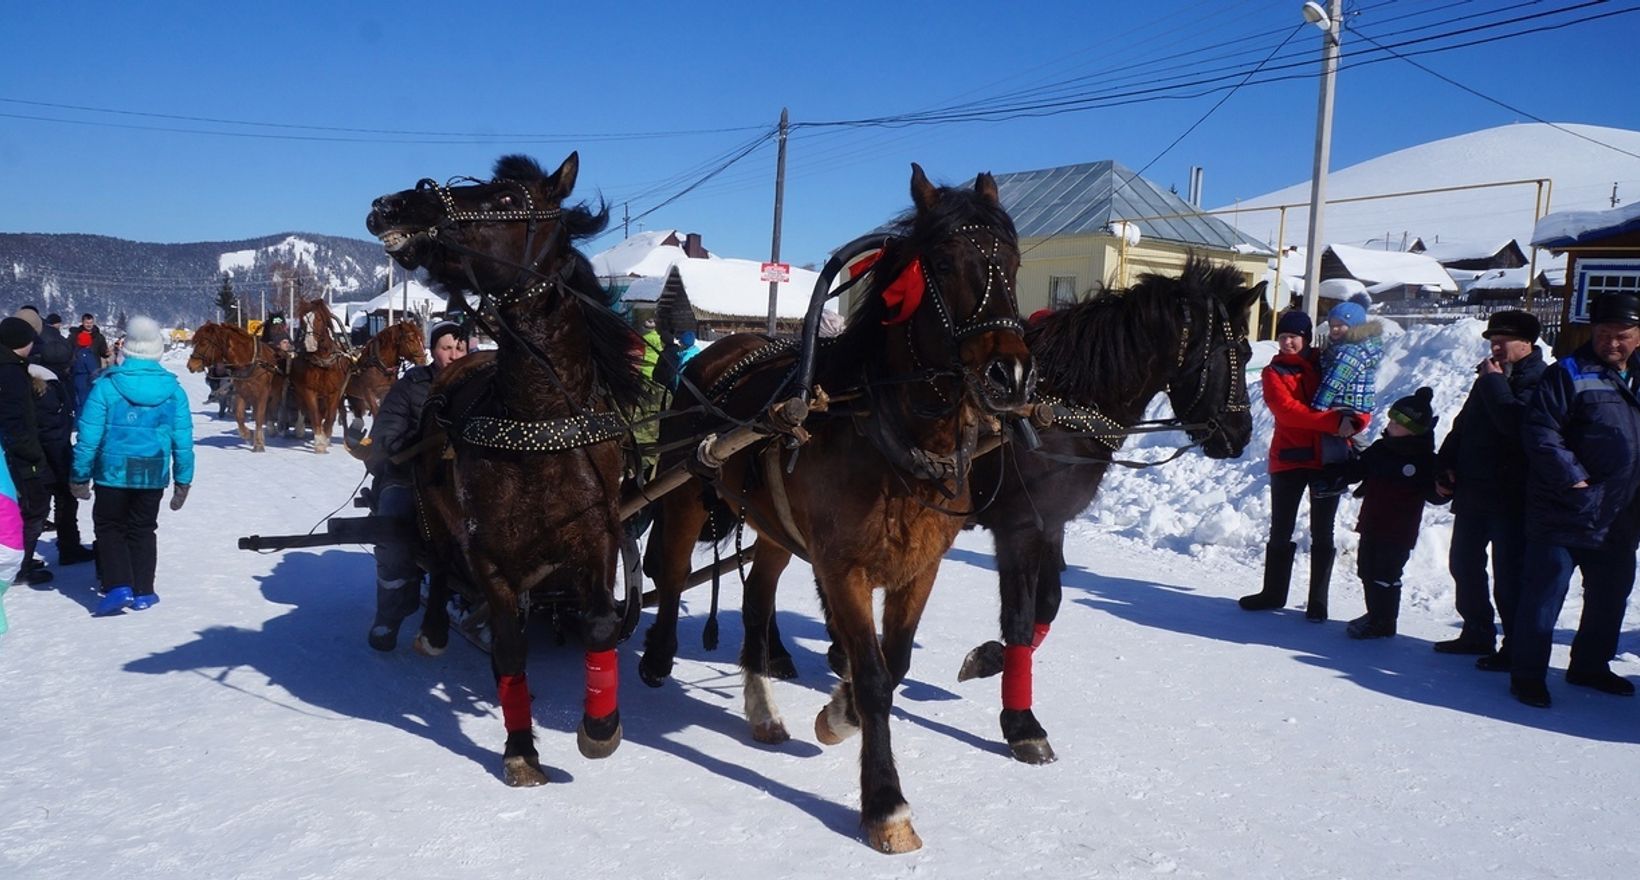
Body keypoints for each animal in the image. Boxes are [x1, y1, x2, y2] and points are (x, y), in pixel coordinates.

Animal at [187, 319, 287, 449]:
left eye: (203, 343)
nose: (190, 365)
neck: (250, 363)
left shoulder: (262, 393)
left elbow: (260, 416)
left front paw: (258, 443)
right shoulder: (241, 392)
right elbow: (239, 415)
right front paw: (247, 434)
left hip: (276, 392)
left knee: (273, 408)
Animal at [288, 298, 352, 455]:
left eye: (318, 319)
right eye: (303, 320)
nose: (309, 344)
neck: (323, 362)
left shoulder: (335, 392)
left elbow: (330, 416)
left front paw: (326, 438)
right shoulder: (309, 391)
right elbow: (314, 415)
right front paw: (319, 443)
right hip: (299, 390)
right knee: (302, 408)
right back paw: (300, 429)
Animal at [642, 164, 1036, 852]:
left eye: (1011, 263)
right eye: (942, 262)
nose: (1009, 376)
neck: (889, 438)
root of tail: (708, 355)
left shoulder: (919, 568)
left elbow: (895, 662)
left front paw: (838, 711)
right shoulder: (841, 567)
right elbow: (876, 677)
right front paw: (885, 804)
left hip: (772, 525)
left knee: (757, 598)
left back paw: (762, 706)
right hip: (687, 489)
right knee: (670, 574)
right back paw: (659, 653)